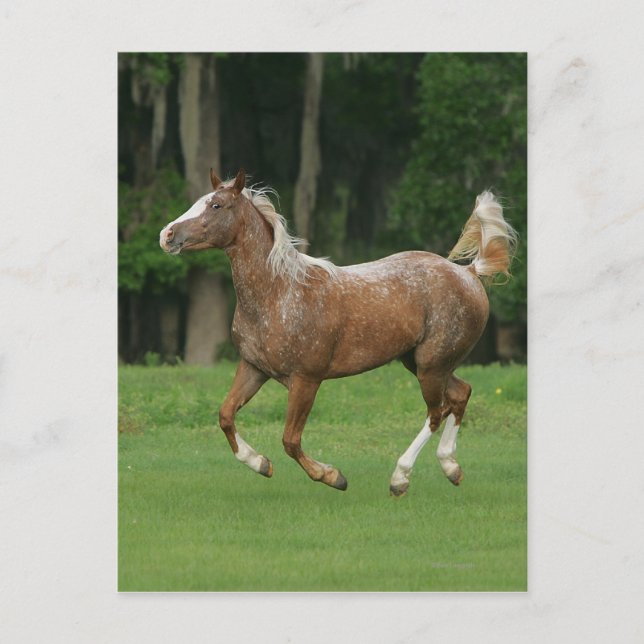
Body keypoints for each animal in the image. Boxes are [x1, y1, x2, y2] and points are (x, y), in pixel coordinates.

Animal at [160, 168, 517, 496]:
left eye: (216, 205)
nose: (166, 234)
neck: (279, 293)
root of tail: (469, 273)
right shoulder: (254, 369)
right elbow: (225, 415)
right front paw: (260, 463)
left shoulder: (306, 380)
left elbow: (290, 440)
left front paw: (333, 477)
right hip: (421, 362)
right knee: (460, 394)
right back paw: (451, 468)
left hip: (431, 365)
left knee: (436, 411)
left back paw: (400, 478)